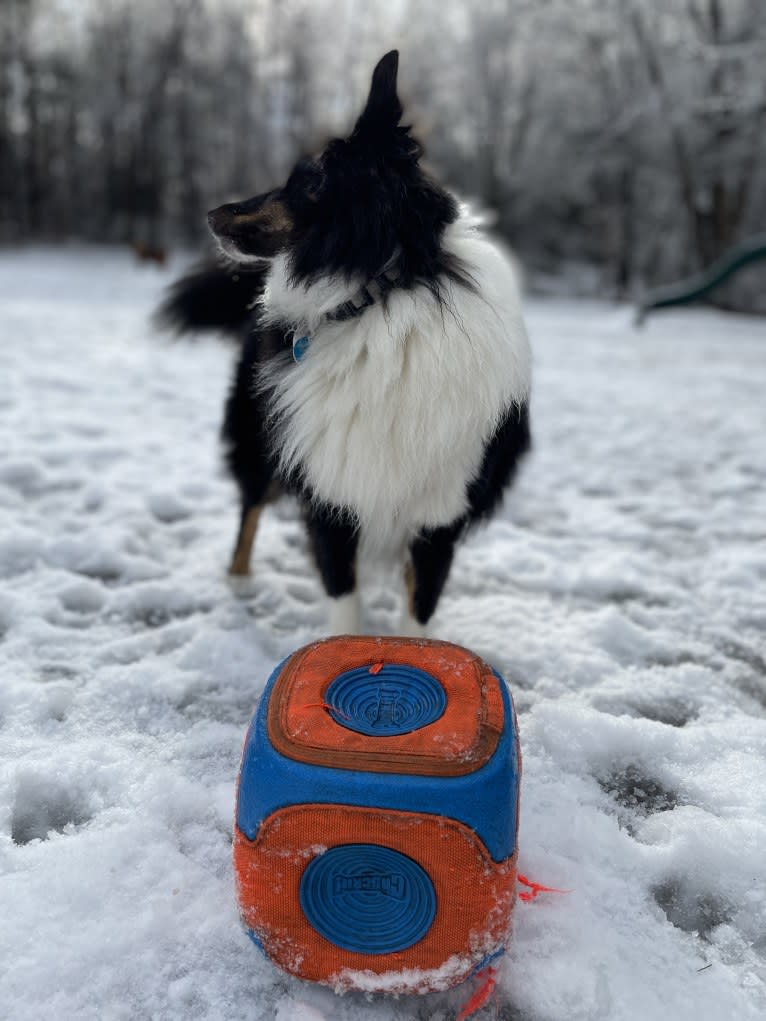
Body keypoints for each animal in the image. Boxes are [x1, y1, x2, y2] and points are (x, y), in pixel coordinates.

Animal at [159, 49, 531, 637]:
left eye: (305, 180)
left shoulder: (440, 514)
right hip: (261, 436)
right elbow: (343, 604)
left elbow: (417, 617)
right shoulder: (329, 493)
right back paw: (238, 581)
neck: (381, 292)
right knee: (250, 505)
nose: (211, 215)